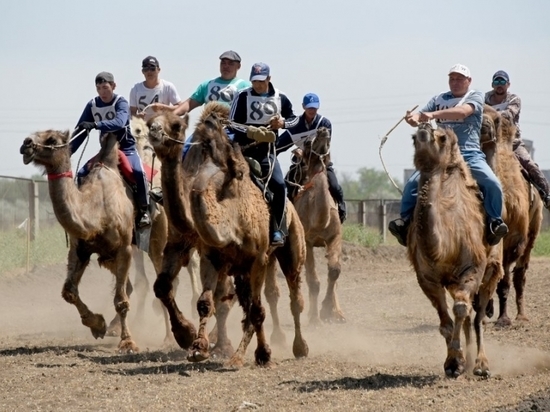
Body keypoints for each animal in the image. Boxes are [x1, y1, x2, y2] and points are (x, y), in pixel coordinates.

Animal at [19, 130, 140, 352]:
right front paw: (98, 325)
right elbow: (69, 292)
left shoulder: (125, 248)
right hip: (110, 259)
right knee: (128, 286)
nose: (26, 144)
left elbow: (120, 301)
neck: (96, 212)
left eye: (52, 139)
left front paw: (128, 342)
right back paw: (113, 327)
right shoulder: (80, 249)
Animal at [147, 103, 310, 366]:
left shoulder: (251, 258)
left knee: (294, 299)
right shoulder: (188, 246)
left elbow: (233, 302)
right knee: (245, 302)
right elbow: (190, 296)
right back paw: (237, 352)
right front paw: (191, 340)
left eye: (177, 125)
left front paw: (230, 348)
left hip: (291, 250)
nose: (154, 130)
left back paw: (298, 347)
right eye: (150, 119)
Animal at [294, 127, 344, 324]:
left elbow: (335, 271)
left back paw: (338, 314)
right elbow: (313, 281)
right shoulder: (307, 241)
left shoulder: (335, 236)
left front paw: (328, 310)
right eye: (307, 143)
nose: (323, 130)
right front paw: (315, 318)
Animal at [408, 123, 506, 376]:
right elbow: (446, 323)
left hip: (492, 269)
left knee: (477, 315)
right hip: (453, 281)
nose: (423, 127)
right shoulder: (427, 277)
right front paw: (454, 363)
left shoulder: (472, 268)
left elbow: (461, 309)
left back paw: (481, 365)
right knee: (468, 314)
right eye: (413, 138)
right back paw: (470, 361)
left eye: (442, 138)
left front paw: (459, 363)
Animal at [480, 105, 544, 326]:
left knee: (519, 274)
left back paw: (521, 316)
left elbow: (504, 280)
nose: (484, 124)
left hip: (533, 227)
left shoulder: (513, 239)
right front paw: (485, 312)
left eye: (498, 119)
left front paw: (503, 319)